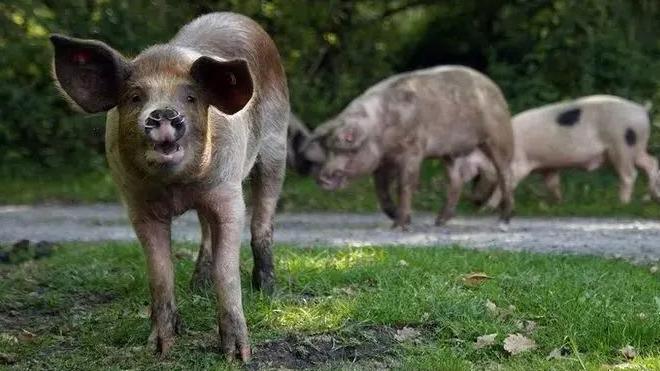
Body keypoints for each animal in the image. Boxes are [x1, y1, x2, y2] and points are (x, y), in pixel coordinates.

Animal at [50, 13, 288, 362]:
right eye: (135, 97)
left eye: (190, 97)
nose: (163, 112)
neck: (176, 187)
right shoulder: (138, 204)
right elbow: (160, 273)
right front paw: (160, 348)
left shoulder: (227, 193)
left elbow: (227, 270)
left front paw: (237, 356)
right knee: (205, 233)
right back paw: (198, 287)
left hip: (276, 145)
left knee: (263, 221)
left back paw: (267, 290)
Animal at [302, 67, 516, 230]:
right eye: (328, 149)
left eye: (348, 150)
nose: (322, 177)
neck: (379, 129)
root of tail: (494, 88)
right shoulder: (383, 160)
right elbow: (381, 190)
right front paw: (398, 218)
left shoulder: (413, 150)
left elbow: (404, 185)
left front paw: (399, 226)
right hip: (450, 153)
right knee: (456, 180)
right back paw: (439, 222)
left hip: (499, 136)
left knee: (505, 173)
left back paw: (503, 221)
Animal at [472, 94, 656, 209]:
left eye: (478, 175)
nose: (475, 201)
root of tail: (641, 109)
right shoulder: (548, 166)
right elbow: (552, 184)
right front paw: (558, 203)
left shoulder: (519, 164)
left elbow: (506, 184)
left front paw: (488, 208)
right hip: (637, 148)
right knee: (652, 163)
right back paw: (650, 198)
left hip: (622, 146)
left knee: (629, 174)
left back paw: (622, 203)